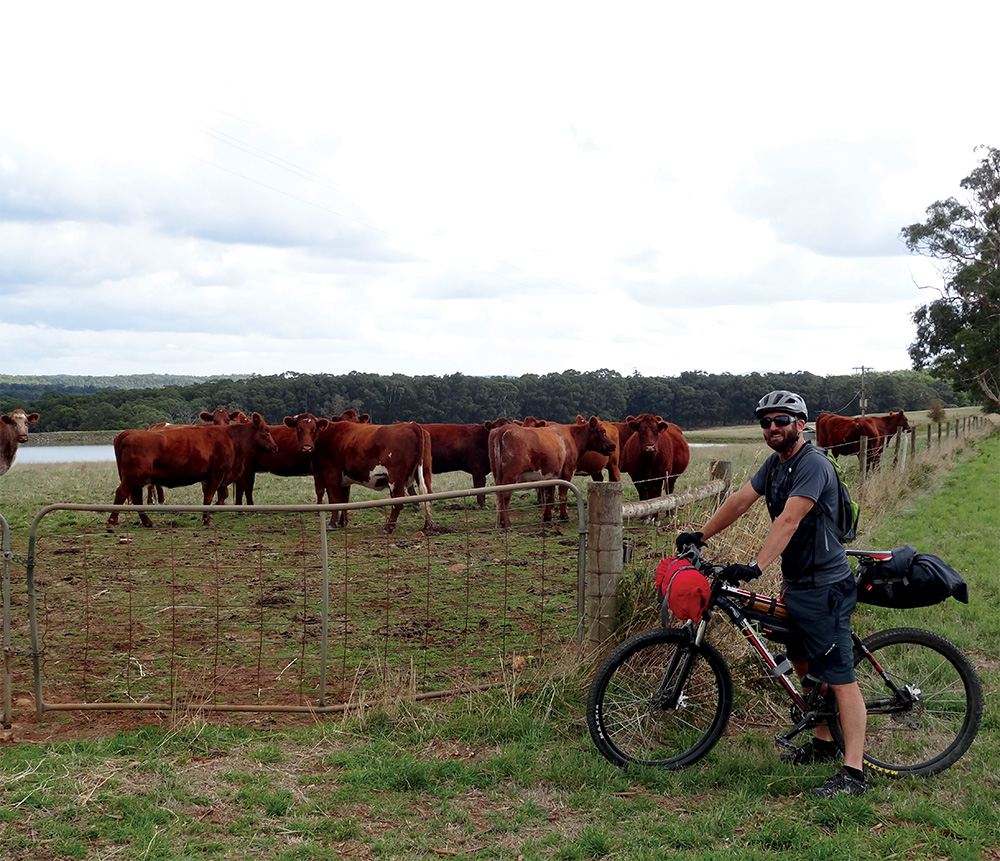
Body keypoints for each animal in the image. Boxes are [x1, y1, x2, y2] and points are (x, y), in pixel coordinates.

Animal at [108, 412, 278, 528]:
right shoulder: (216, 475)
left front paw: (214, 510)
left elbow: (221, 495)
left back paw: (148, 522)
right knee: (121, 493)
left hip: (137, 480)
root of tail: (130, 432)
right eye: (266, 430)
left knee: (137, 499)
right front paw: (207, 519)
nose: (275, 447)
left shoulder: (216, 477)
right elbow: (208, 497)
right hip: (131, 477)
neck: (230, 438)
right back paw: (111, 522)